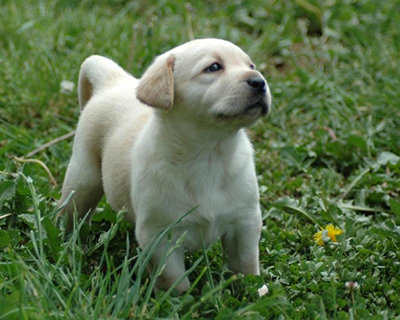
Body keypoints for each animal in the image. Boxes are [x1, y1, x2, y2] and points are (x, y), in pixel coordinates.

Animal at [59, 37, 272, 292]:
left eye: (251, 66)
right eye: (213, 67)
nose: (259, 81)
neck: (209, 153)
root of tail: (113, 81)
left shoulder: (245, 222)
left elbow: (246, 264)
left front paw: (253, 291)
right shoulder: (159, 235)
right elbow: (173, 279)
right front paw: (176, 299)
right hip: (83, 179)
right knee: (74, 215)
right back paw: (73, 247)